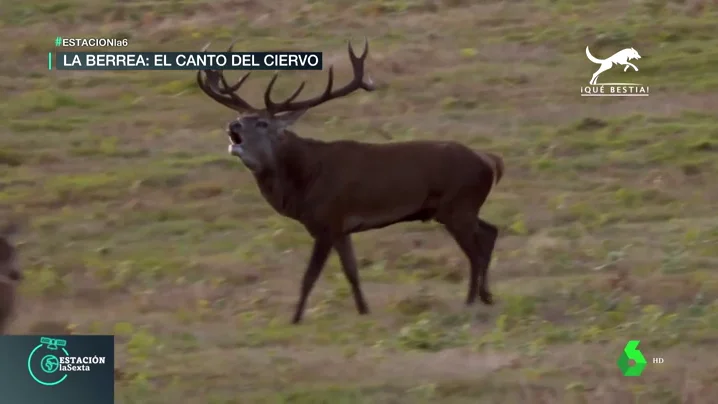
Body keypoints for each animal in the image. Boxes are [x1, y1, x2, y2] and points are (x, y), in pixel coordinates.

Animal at [197, 39, 506, 324]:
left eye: (262, 123)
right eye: (240, 116)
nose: (232, 126)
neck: (304, 181)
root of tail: (489, 160)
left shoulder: (327, 221)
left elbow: (309, 276)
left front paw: (295, 319)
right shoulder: (342, 228)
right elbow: (352, 272)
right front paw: (363, 311)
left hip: (458, 205)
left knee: (475, 252)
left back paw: (471, 301)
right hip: (459, 208)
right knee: (490, 232)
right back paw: (486, 296)